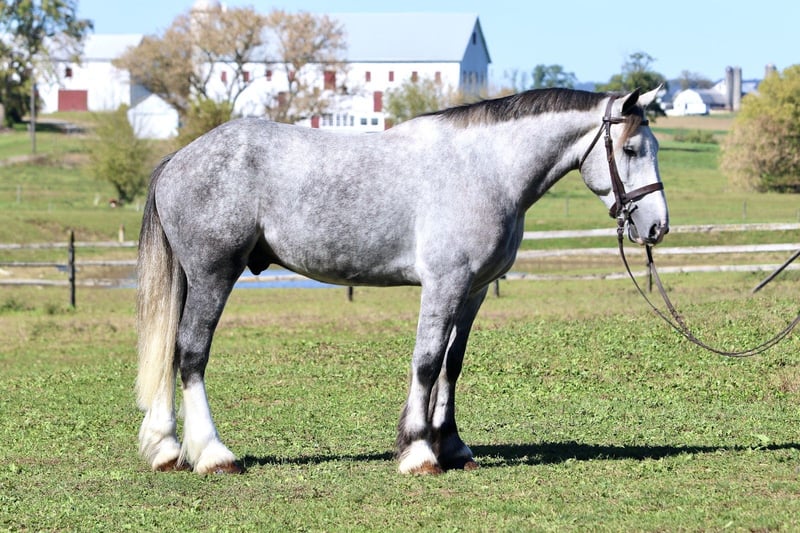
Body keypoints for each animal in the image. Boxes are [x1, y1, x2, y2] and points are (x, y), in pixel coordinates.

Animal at [136, 87, 668, 475]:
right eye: (631, 148)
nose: (657, 227)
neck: (485, 168)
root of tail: (179, 158)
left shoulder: (473, 291)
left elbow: (452, 364)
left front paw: (452, 446)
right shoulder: (444, 284)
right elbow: (427, 362)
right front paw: (418, 452)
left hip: (191, 279)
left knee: (170, 352)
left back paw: (167, 449)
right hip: (213, 274)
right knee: (191, 353)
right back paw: (212, 455)